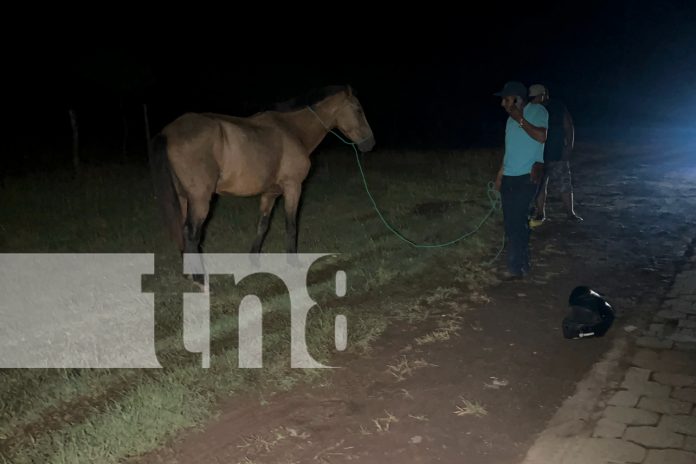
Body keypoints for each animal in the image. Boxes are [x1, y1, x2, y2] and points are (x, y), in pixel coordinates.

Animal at [149, 84, 372, 280]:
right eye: (359, 110)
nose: (371, 143)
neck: (291, 130)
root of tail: (168, 132)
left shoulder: (270, 193)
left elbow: (263, 225)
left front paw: (254, 260)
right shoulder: (293, 187)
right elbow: (291, 225)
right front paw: (293, 262)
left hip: (183, 198)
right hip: (200, 199)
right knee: (191, 233)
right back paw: (198, 278)